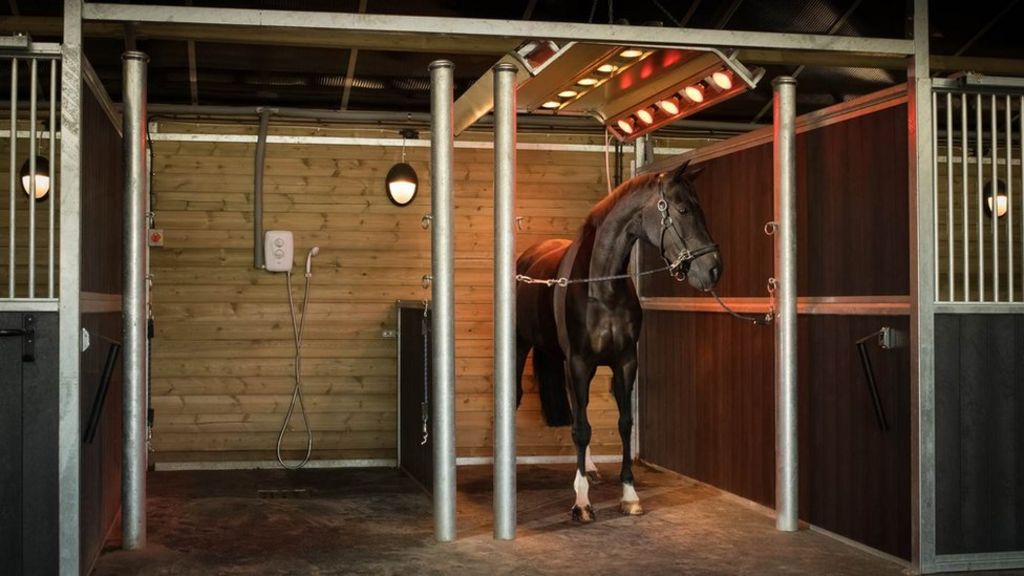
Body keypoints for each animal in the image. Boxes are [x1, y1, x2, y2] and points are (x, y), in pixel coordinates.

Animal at [515, 160, 721, 523]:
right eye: (682, 209)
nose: (712, 270)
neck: (601, 286)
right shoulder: (580, 363)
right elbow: (582, 429)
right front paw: (582, 502)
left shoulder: (624, 362)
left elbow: (623, 423)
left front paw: (629, 494)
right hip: (522, 348)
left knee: (577, 410)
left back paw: (591, 469)